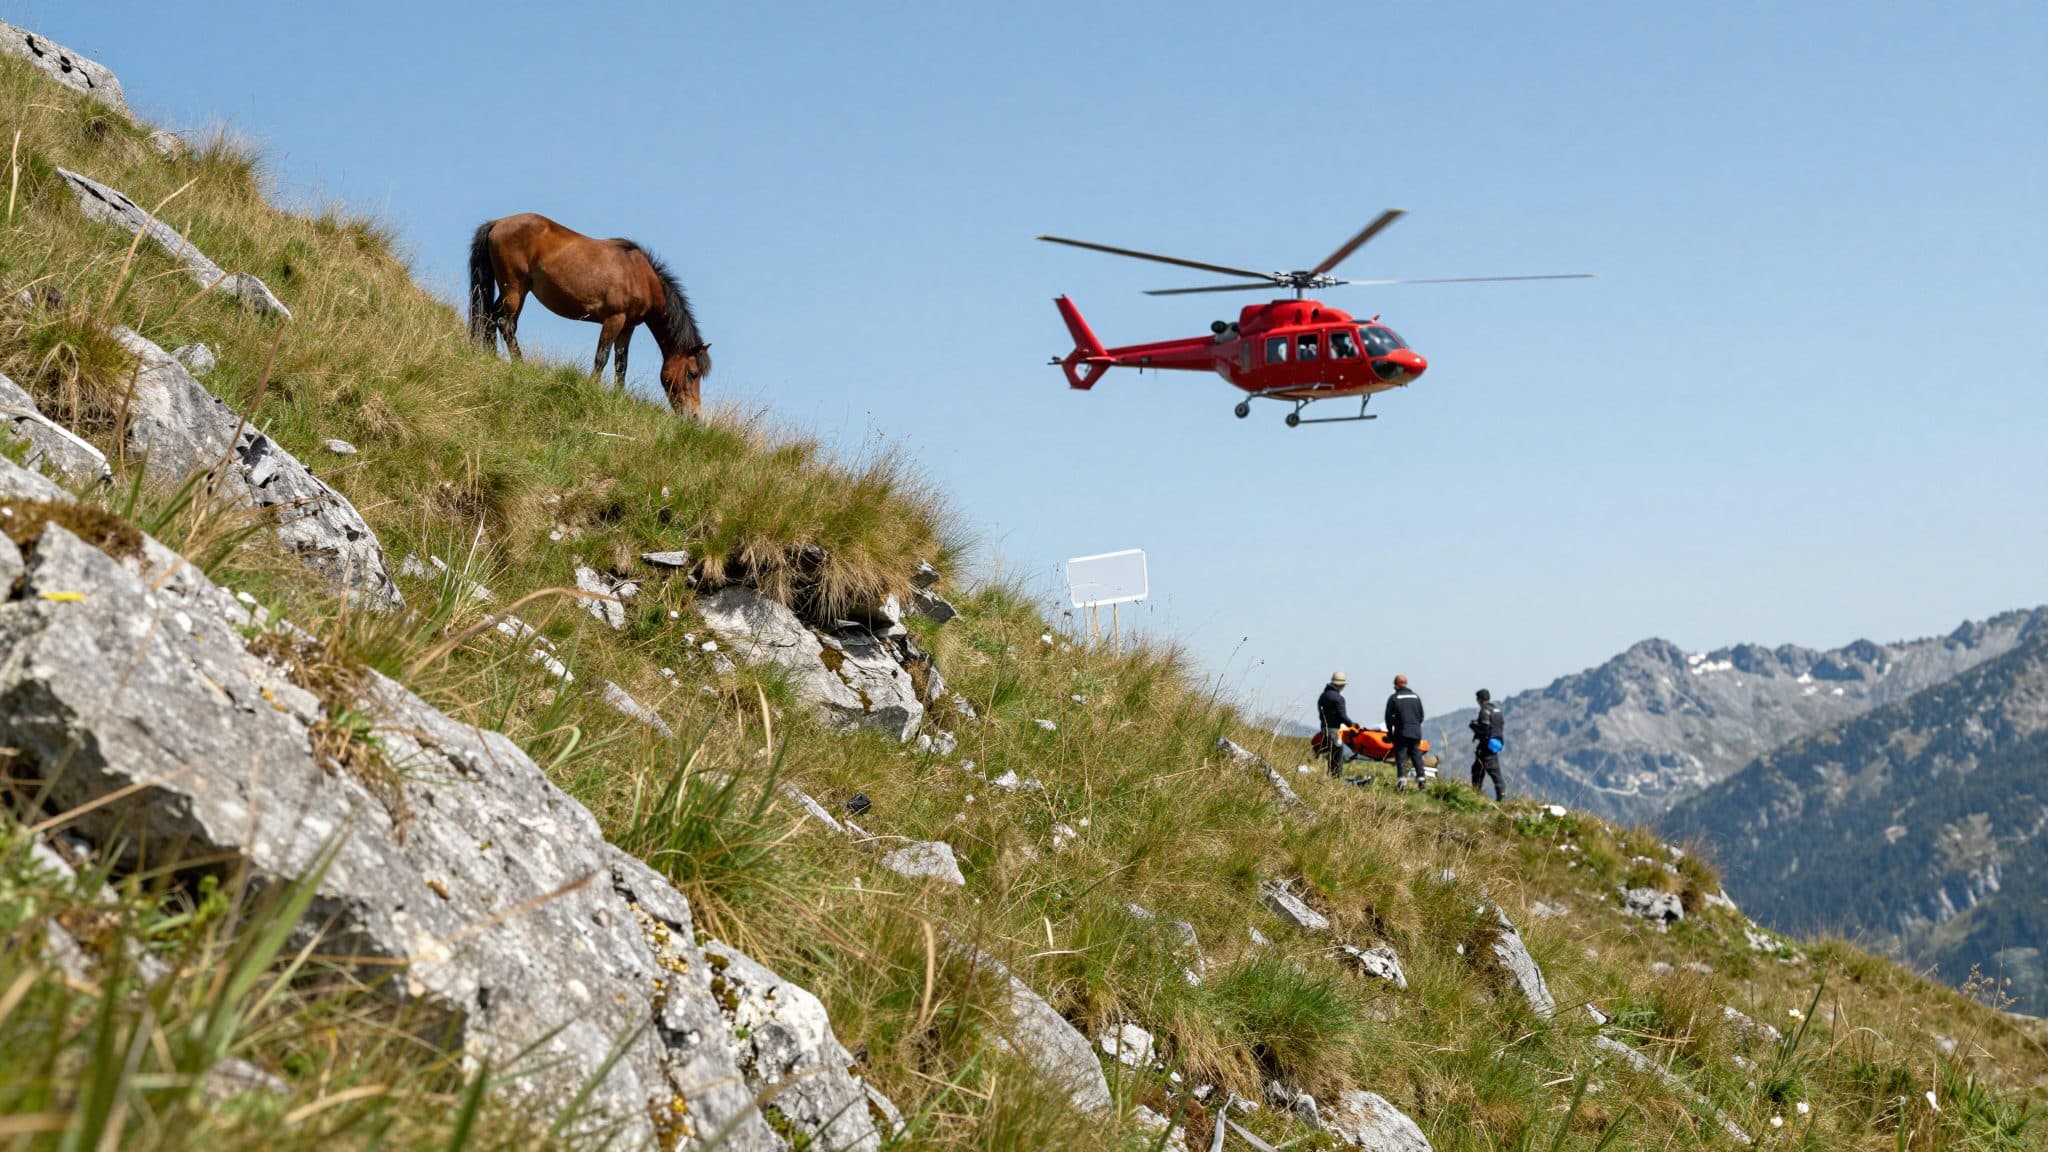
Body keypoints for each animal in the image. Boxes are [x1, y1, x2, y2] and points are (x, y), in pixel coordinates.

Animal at [467, 213, 712, 416]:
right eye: (693, 373)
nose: (694, 417)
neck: (639, 276)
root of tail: (498, 223)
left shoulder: (628, 327)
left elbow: (621, 364)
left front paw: (619, 397)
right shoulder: (614, 319)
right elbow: (601, 357)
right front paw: (593, 388)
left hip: (514, 291)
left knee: (491, 318)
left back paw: (491, 356)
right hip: (514, 289)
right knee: (505, 323)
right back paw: (520, 364)